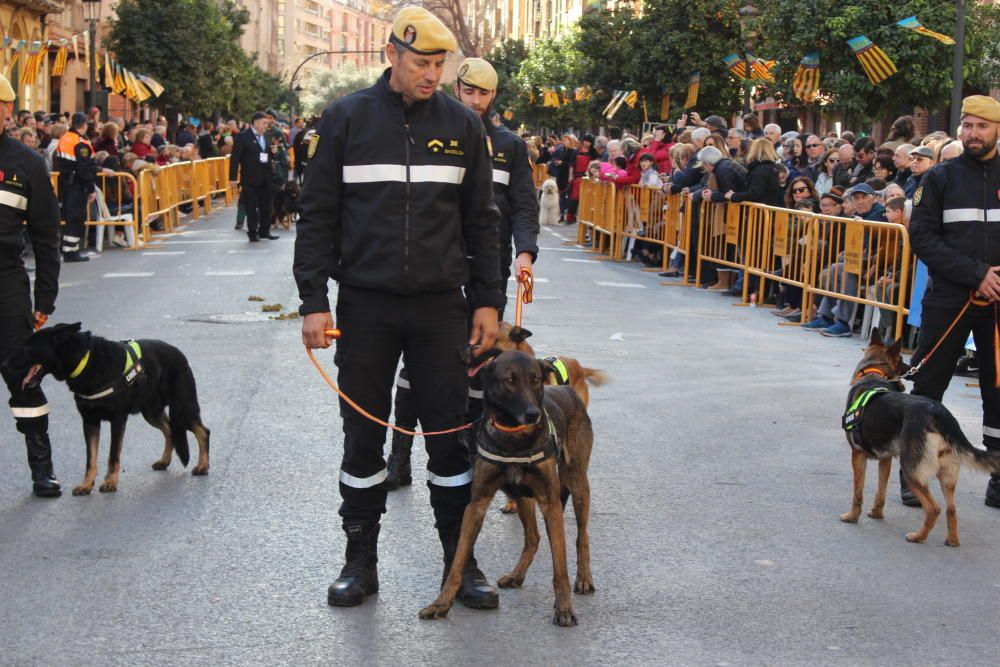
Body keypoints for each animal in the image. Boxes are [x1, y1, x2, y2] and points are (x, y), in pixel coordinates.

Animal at [5, 324, 211, 496]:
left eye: (28, 348)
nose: (4, 365)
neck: (87, 360)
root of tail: (179, 353)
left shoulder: (117, 419)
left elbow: (113, 455)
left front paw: (110, 482)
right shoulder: (89, 421)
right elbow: (90, 459)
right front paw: (86, 484)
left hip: (182, 407)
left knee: (202, 431)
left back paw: (202, 465)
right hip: (151, 412)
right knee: (169, 430)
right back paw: (165, 461)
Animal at [420, 350, 592, 628]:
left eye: (535, 379)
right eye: (509, 380)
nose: (533, 414)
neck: (514, 436)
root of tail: (566, 389)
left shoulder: (551, 503)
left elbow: (560, 569)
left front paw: (564, 608)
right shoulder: (477, 504)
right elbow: (458, 561)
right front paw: (441, 604)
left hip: (577, 484)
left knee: (582, 536)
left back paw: (584, 579)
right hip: (522, 498)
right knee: (532, 538)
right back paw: (517, 575)